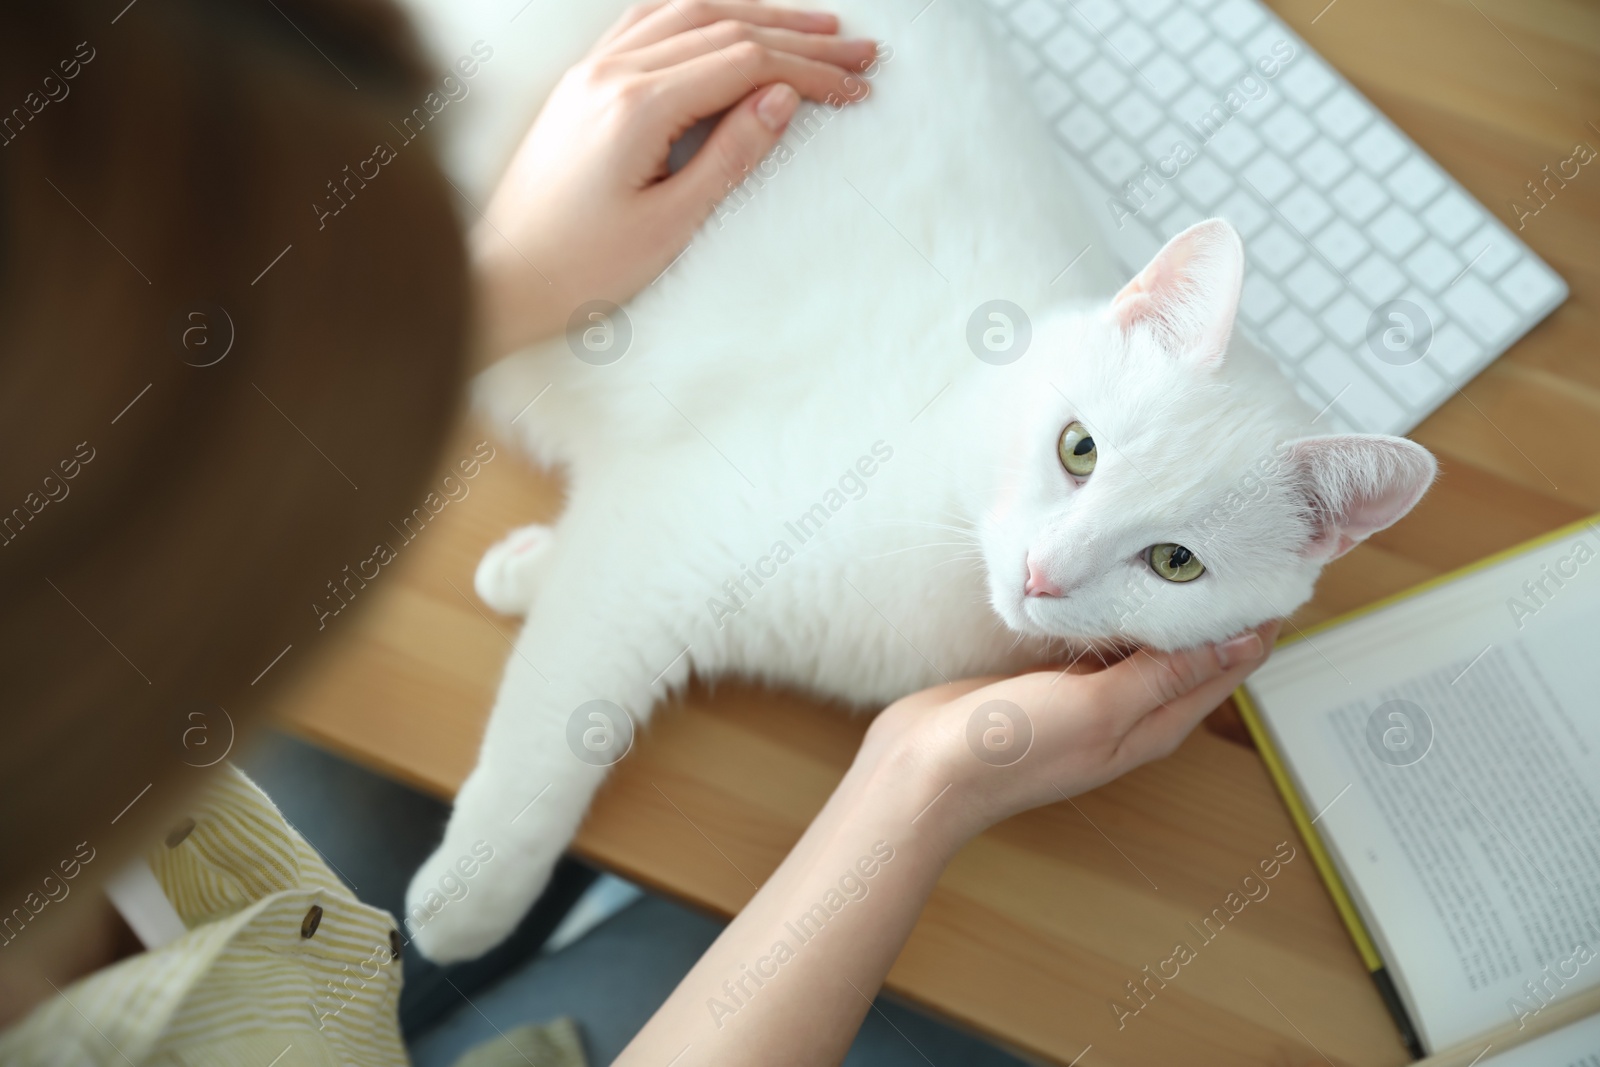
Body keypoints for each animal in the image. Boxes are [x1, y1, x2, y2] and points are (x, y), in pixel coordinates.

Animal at [403, 0, 1440, 966]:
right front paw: (470, 897)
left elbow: (581, 585)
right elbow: (561, 716)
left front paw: (523, 569)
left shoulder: (646, 532)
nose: (1044, 573)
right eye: (1078, 449)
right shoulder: (663, 548)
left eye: (1176, 562)